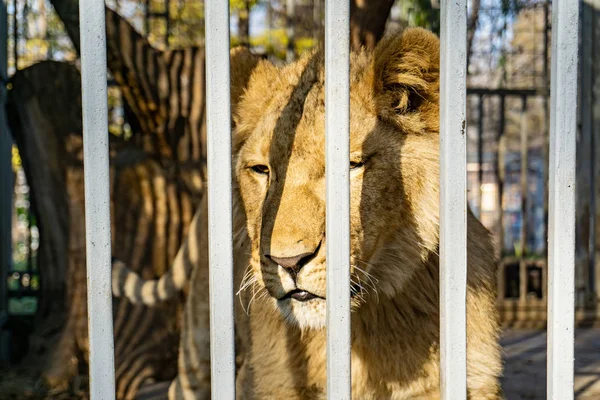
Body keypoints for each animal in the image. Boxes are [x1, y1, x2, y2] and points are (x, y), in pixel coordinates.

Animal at [111, 26, 502, 398]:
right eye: (262, 170)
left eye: (349, 166)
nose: (288, 262)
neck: (362, 331)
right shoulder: (268, 380)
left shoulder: (471, 377)